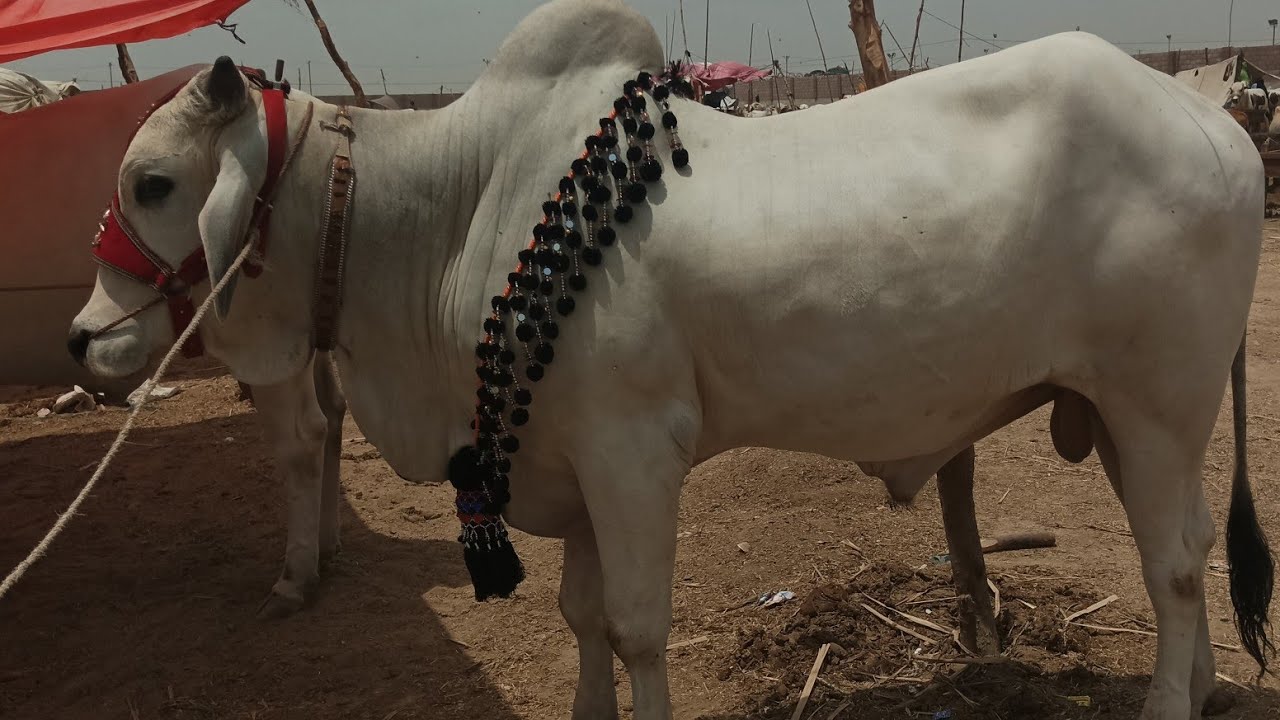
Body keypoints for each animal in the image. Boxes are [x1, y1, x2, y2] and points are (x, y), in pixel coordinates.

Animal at [68, 1, 1271, 718]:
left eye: (154, 183)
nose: (82, 337)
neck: (457, 211)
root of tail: (1216, 126)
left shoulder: (633, 453)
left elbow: (638, 627)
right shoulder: (566, 464)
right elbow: (583, 616)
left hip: (1157, 406)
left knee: (1173, 566)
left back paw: (1170, 701)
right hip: (1118, 415)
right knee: (1186, 551)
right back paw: (1206, 686)